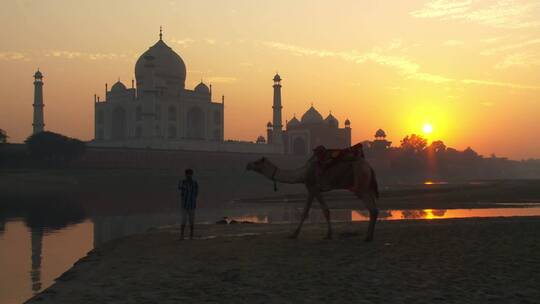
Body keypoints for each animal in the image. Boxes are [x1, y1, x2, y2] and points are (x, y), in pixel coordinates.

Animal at [246, 148, 380, 241]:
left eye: (257, 162)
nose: (248, 165)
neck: (303, 173)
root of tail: (370, 167)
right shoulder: (314, 190)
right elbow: (316, 211)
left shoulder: (313, 188)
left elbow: (317, 211)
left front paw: (295, 234)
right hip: (367, 186)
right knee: (375, 209)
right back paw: (370, 236)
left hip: (361, 185)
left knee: (372, 209)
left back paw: (368, 238)